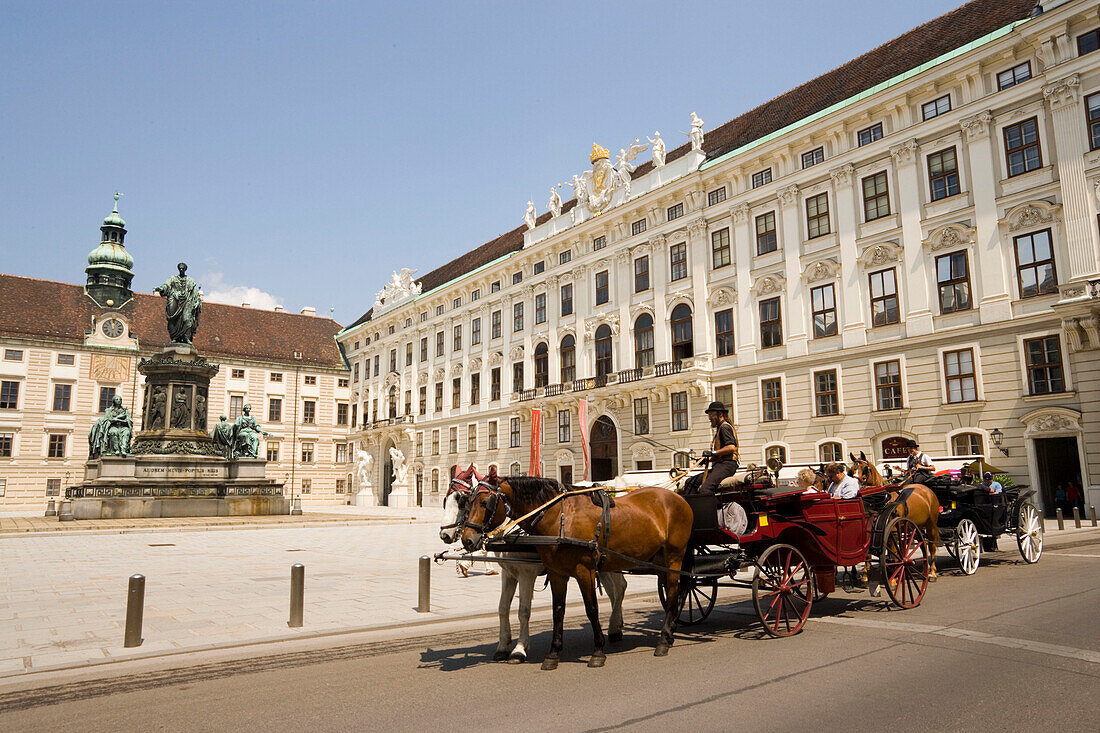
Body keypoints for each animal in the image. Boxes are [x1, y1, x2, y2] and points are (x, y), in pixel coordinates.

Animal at [437, 484, 629, 660]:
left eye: (462, 502)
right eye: (446, 501)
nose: (444, 535)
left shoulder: (526, 575)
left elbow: (523, 611)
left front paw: (519, 648)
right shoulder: (509, 574)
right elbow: (503, 608)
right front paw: (503, 646)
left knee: (620, 588)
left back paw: (614, 628)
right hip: (600, 566)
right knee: (613, 592)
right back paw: (616, 624)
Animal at [459, 473, 690, 669]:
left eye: (484, 503)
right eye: (467, 502)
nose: (466, 539)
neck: (559, 517)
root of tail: (677, 497)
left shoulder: (580, 571)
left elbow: (591, 609)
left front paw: (597, 651)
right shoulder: (555, 573)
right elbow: (557, 611)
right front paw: (553, 654)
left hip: (674, 557)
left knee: (672, 594)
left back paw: (663, 640)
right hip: (653, 560)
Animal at [853, 449, 941, 581]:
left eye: (865, 468)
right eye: (851, 469)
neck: (883, 500)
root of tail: (927, 490)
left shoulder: (893, 531)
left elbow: (893, 553)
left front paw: (894, 578)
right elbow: (869, 554)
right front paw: (865, 575)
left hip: (931, 524)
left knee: (932, 545)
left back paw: (932, 572)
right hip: (916, 526)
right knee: (923, 544)